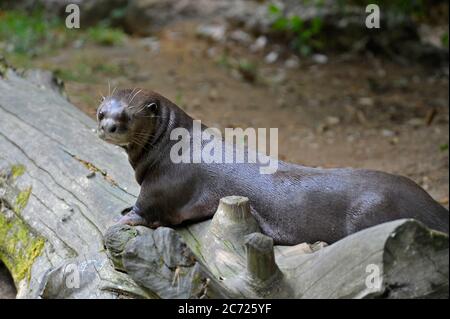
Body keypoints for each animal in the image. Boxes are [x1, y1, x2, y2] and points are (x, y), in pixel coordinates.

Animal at [96, 89, 448, 246]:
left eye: (126, 116)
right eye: (102, 112)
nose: (106, 127)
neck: (172, 145)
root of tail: (432, 206)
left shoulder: (164, 184)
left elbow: (147, 209)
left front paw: (125, 219)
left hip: (374, 211)